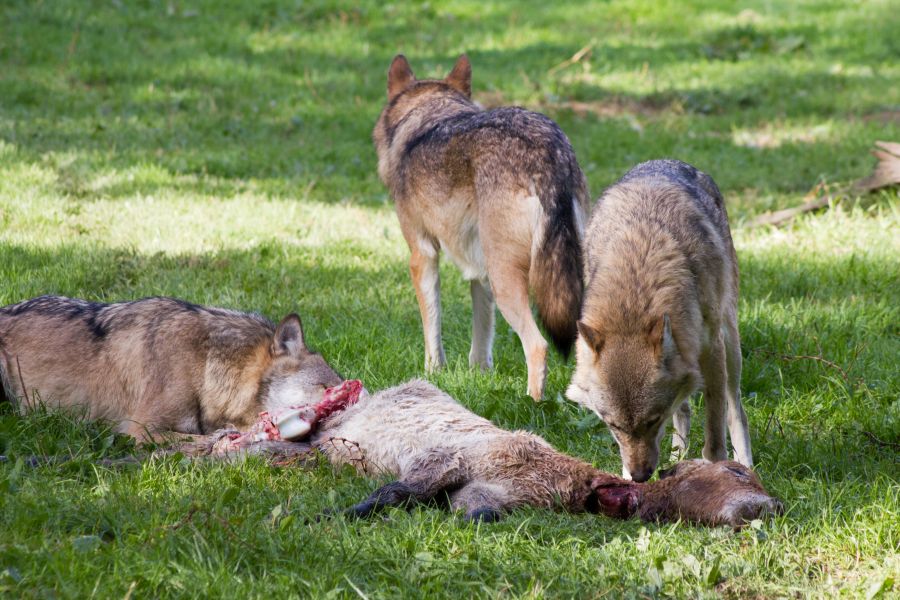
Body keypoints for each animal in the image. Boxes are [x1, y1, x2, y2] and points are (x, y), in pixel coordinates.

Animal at [372, 52, 592, 398]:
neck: (427, 113)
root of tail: (547, 154)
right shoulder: (478, 268)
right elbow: (482, 336)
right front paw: (480, 375)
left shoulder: (422, 256)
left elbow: (432, 328)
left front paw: (432, 373)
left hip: (508, 283)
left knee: (538, 346)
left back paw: (533, 403)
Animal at [568, 159, 752, 482]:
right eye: (613, 425)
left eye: (653, 420)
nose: (641, 476)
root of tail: (669, 161)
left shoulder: (711, 350)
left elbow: (715, 434)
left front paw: (719, 471)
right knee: (685, 410)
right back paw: (678, 457)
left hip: (731, 346)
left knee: (735, 411)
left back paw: (746, 464)